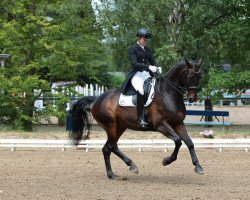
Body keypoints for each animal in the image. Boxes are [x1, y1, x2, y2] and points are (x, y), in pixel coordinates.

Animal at [69, 59, 204, 180]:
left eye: (200, 76)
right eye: (190, 75)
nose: (192, 98)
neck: (168, 93)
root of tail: (96, 100)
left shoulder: (178, 124)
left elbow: (189, 143)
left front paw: (198, 167)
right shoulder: (161, 125)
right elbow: (178, 141)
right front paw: (166, 161)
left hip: (120, 127)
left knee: (107, 148)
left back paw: (113, 173)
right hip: (111, 125)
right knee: (112, 146)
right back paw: (130, 166)